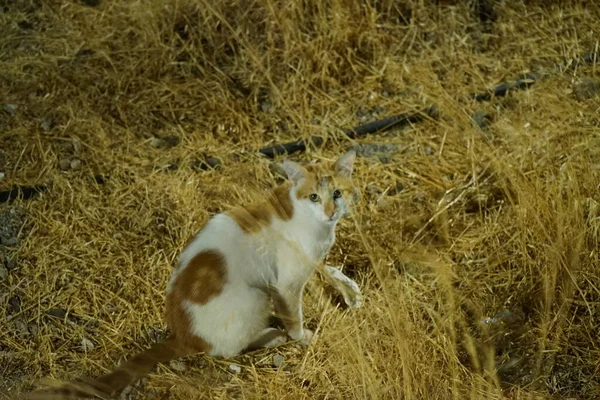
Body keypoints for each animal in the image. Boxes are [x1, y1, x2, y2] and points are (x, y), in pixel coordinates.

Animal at [29, 151, 360, 400]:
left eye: (337, 193)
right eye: (314, 196)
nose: (330, 211)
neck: (316, 227)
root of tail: (181, 333)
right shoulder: (287, 284)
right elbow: (294, 316)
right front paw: (302, 336)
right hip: (254, 297)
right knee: (229, 348)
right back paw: (271, 336)